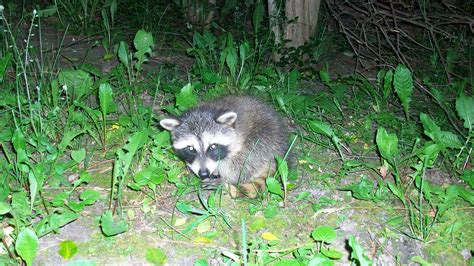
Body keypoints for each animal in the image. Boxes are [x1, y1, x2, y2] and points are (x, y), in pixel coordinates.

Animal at [159, 95, 288, 197]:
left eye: (213, 147)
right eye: (190, 148)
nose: (204, 174)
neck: (203, 111)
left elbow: (240, 163)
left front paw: (225, 176)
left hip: (268, 139)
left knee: (248, 157)